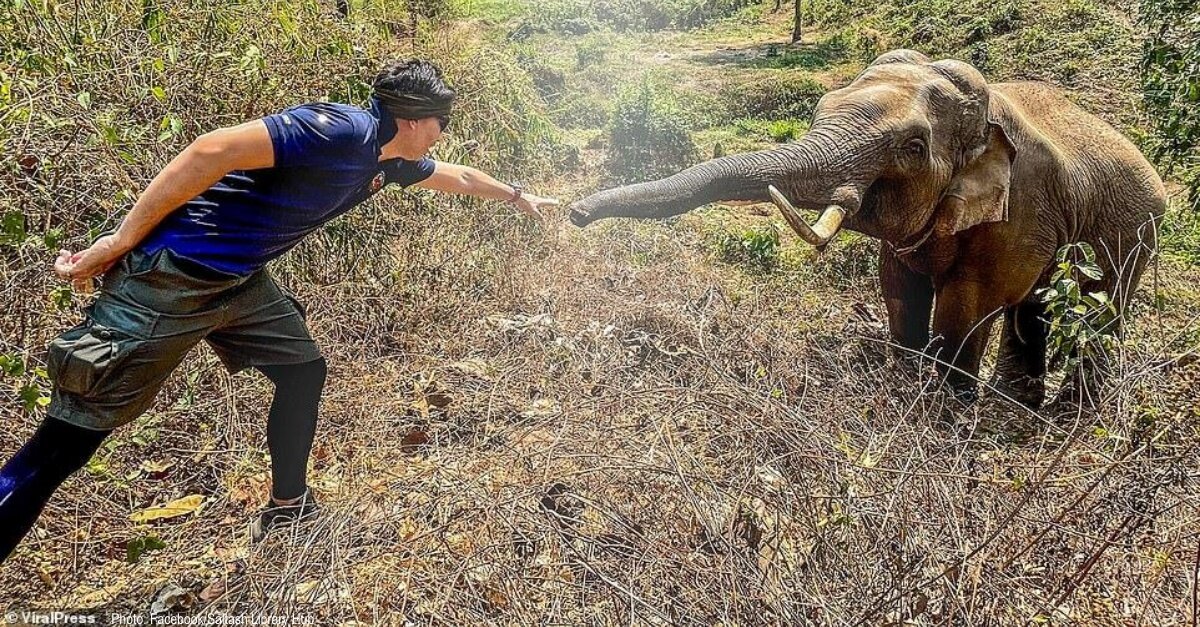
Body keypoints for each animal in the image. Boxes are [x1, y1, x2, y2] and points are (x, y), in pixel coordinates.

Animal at [568, 50, 1161, 410]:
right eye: (820, 109)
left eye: (914, 148)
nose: (573, 213)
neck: (985, 111)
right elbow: (898, 288)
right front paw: (905, 384)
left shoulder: (1020, 209)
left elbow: (968, 305)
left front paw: (945, 415)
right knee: (1035, 307)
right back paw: (1021, 402)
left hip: (1136, 231)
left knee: (1102, 310)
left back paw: (1068, 411)